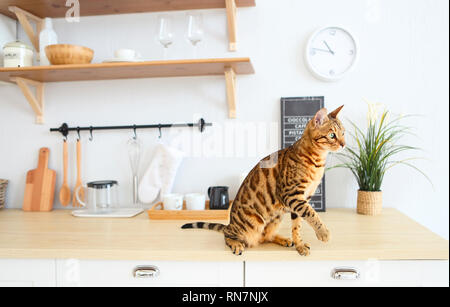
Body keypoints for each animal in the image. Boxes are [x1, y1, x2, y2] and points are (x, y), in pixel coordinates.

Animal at [181, 107, 346, 256]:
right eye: (332, 135)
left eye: (343, 133)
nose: (344, 144)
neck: (318, 161)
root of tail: (231, 223)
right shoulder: (292, 195)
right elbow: (311, 214)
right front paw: (323, 233)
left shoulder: (302, 199)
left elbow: (297, 226)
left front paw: (299, 244)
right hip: (252, 223)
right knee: (228, 234)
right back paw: (236, 244)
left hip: (276, 217)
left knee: (264, 237)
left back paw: (283, 239)